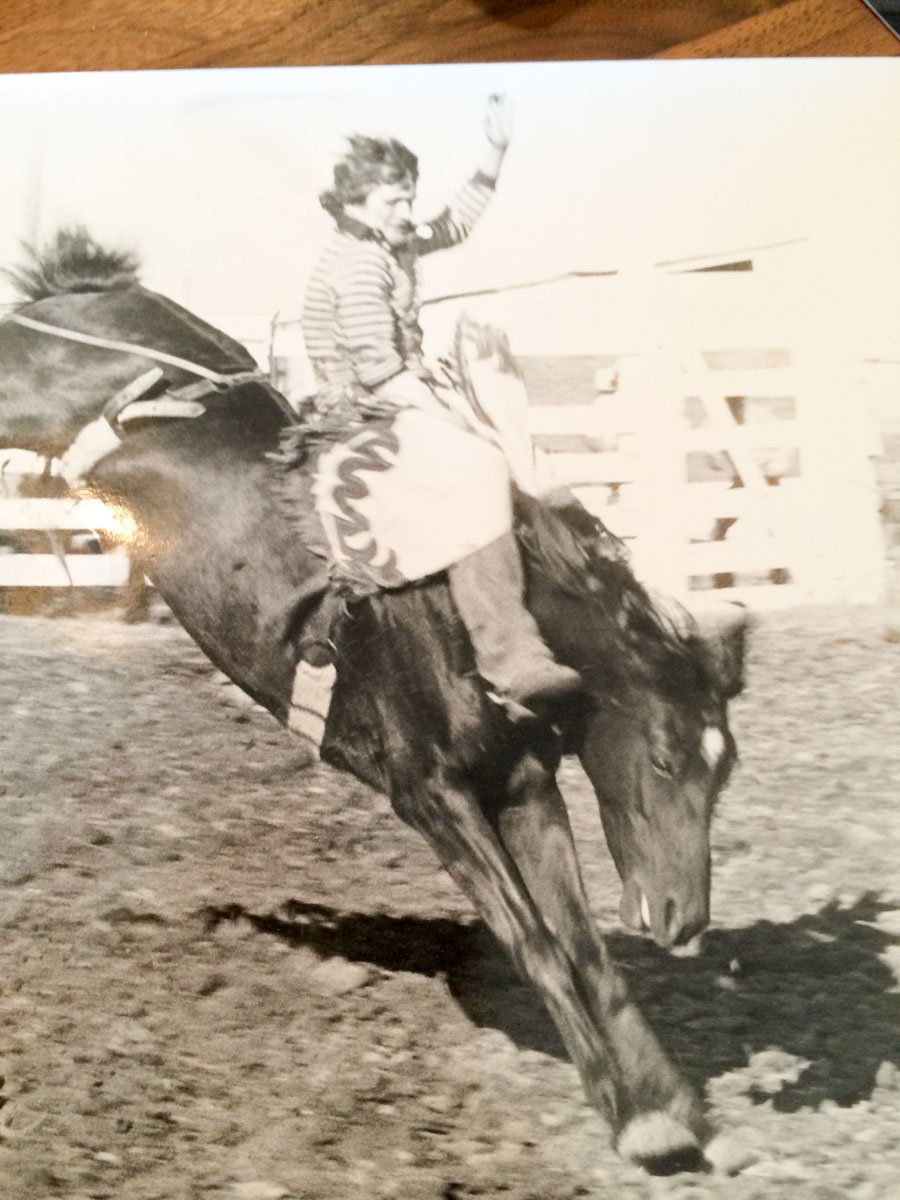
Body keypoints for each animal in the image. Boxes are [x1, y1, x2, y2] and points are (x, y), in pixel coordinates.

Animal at [0, 238, 748, 1176]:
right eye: (663, 757)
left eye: (725, 771)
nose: (687, 919)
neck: (470, 611)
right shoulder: (429, 794)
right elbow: (535, 942)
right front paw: (636, 1113)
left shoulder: (524, 785)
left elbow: (584, 947)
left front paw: (668, 1111)